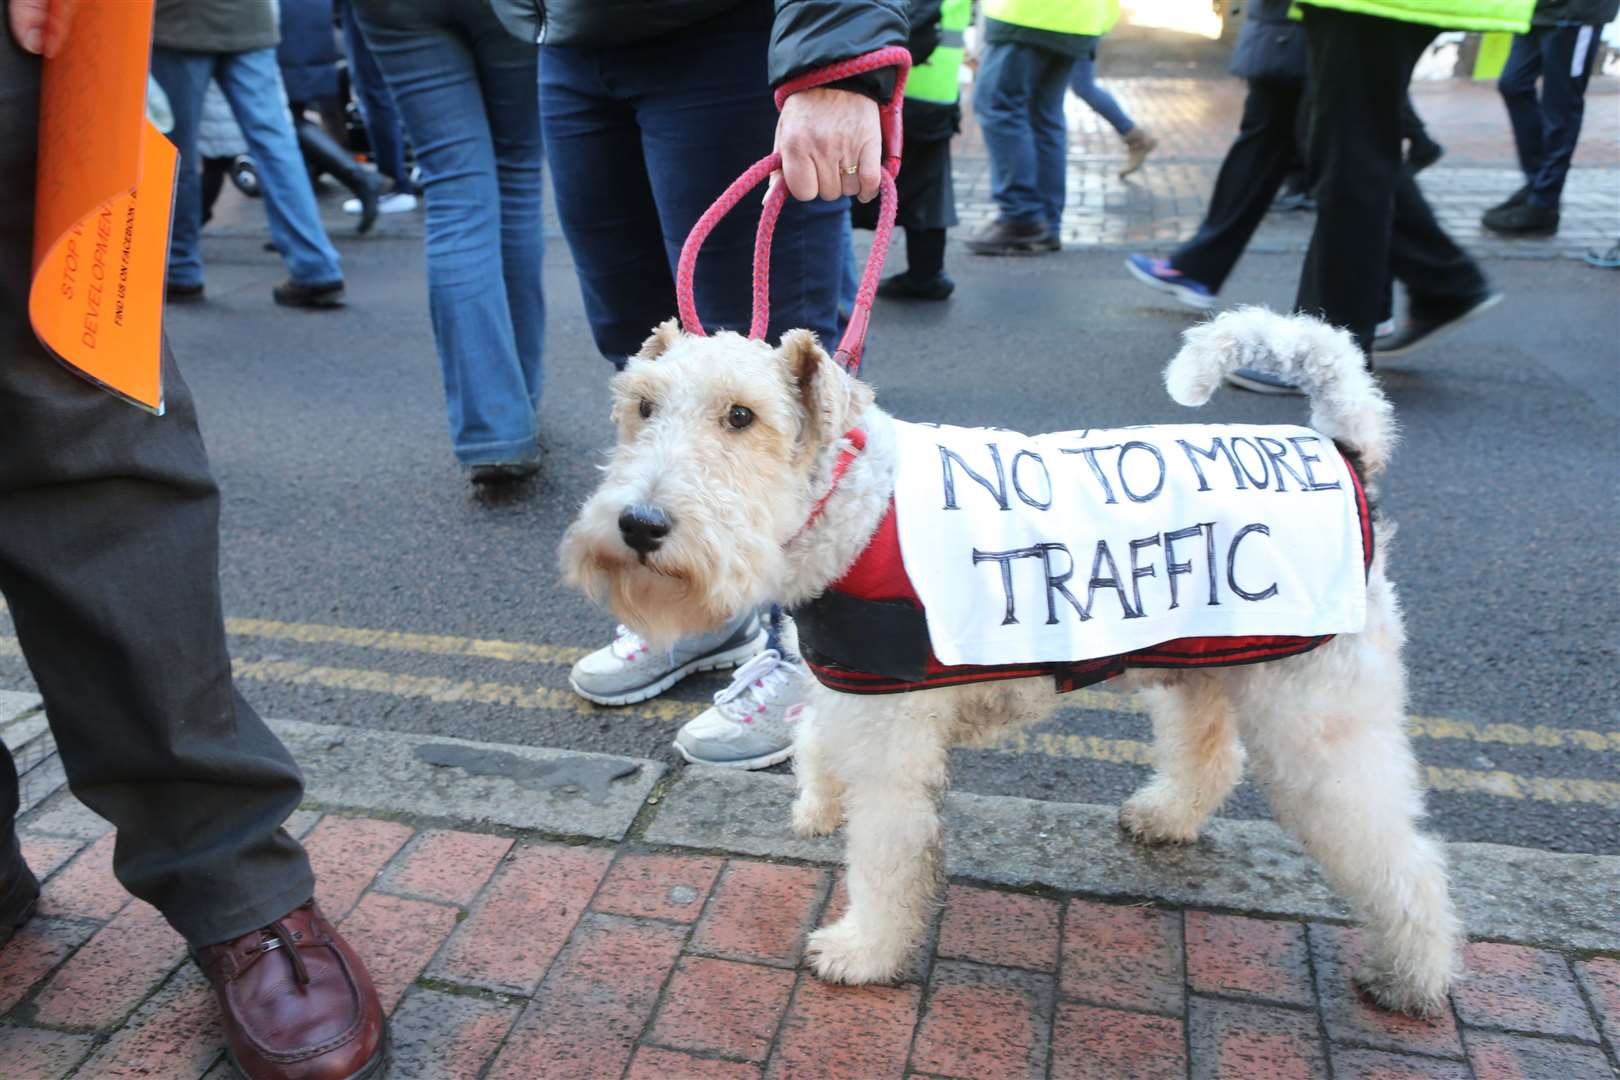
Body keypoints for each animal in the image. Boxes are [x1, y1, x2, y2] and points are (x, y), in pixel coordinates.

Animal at [563, 307, 1464, 1016]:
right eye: (641, 405)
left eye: (742, 416)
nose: (639, 525)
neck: (850, 504)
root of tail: (1346, 449)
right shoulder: (850, 686)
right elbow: (817, 737)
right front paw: (818, 803)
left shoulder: (892, 741)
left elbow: (885, 860)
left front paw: (861, 951)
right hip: (1211, 664)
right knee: (1209, 756)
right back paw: (1163, 817)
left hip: (1321, 722)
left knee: (1406, 859)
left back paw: (1411, 978)